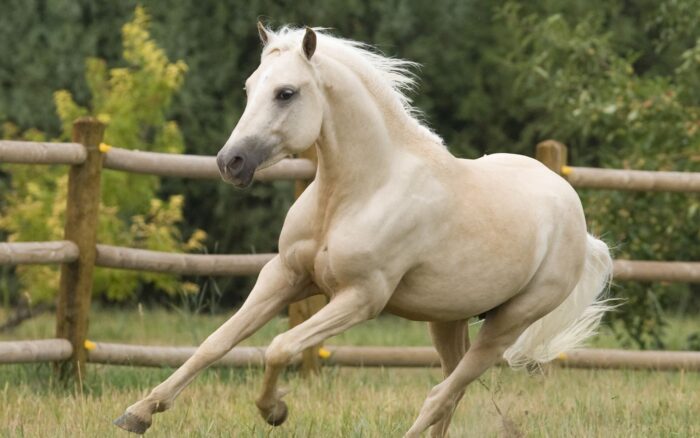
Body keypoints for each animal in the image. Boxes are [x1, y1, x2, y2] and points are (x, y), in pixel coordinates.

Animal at [116, 24, 612, 438]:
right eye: (250, 88)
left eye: (286, 93)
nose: (230, 162)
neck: (356, 193)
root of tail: (577, 221)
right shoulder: (284, 277)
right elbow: (215, 343)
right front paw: (139, 413)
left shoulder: (360, 298)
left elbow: (279, 346)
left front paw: (274, 410)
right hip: (447, 319)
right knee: (451, 391)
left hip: (508, 324)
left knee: (441, 394)